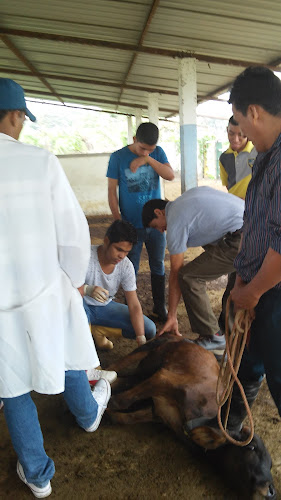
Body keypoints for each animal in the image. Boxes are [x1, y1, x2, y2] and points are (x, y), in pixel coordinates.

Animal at [107, 332, 276, 500]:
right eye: (251, 447)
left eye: (271, 464)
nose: (271, 491)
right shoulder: (164, 378)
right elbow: (120, 401)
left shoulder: (160, 412)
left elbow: (125, 417)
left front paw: (111, 414)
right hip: (148, 348)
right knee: (116, 366)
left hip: (141, 372)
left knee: (120, 379)